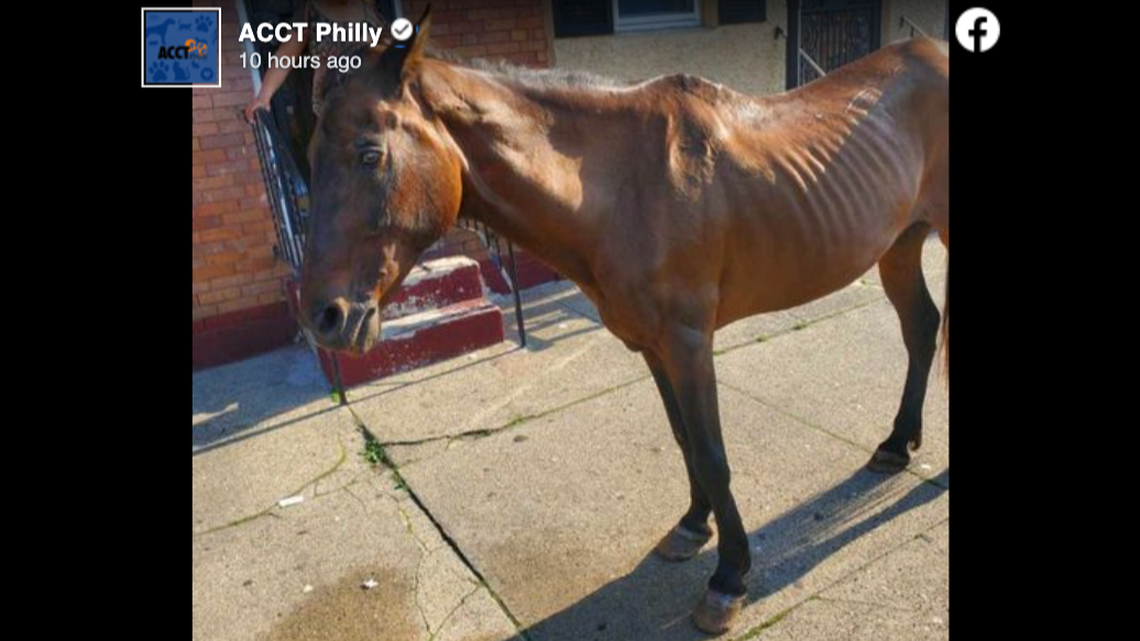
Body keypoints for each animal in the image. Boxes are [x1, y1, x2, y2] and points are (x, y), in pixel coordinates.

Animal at [296, 9, 948, 634]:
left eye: (369, 154)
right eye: (310, 159)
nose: (323, 318)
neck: (620, 187)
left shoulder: (688, 343)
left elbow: (712, 452)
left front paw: (728, 579)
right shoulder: (652, 346)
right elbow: (686, 443)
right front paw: (691, 528)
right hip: (898, 246)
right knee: (921, 328)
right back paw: (895, 445)